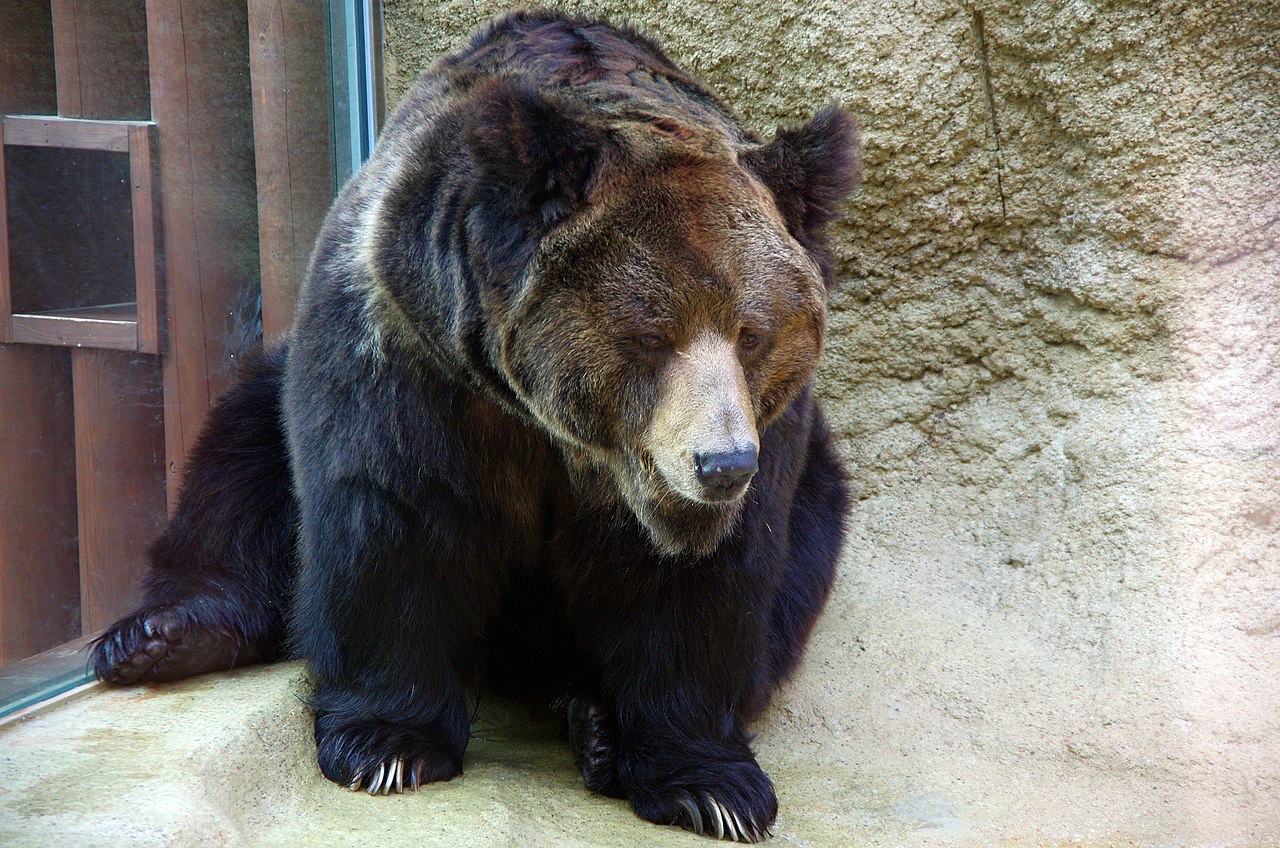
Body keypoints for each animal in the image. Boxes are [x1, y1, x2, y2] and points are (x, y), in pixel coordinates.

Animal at [88, 10, 858, 843]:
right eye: (652, 332)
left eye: (752, 333)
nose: (722, 464)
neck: (552, 426)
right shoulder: (411, 351)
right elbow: (398, 519)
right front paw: (387, 743)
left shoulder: (764, 433)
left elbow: (705, 579)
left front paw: (709, 786)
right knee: (238, 459)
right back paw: (161, 635)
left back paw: (593, 726)